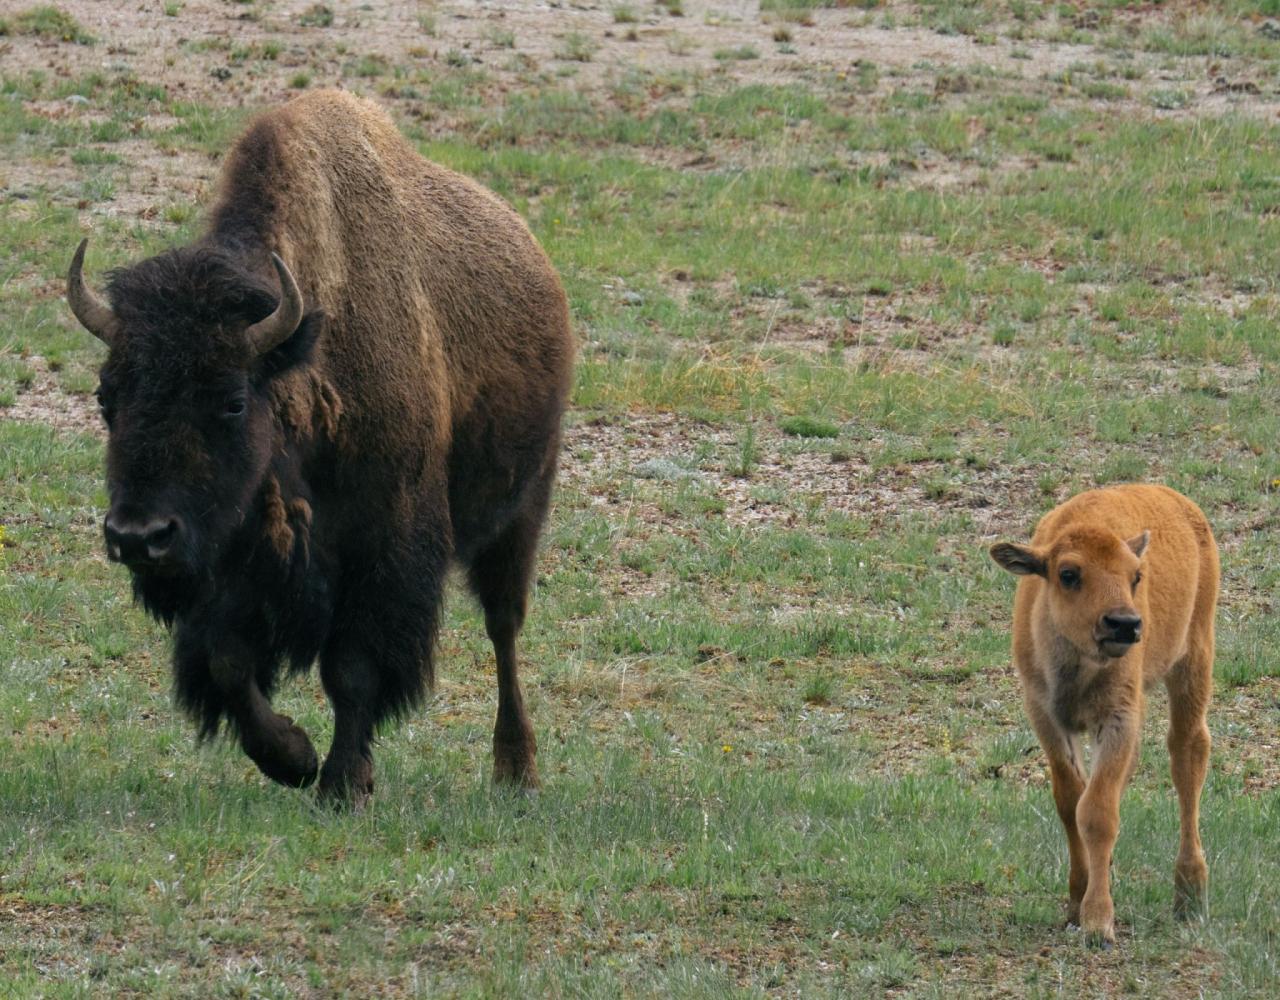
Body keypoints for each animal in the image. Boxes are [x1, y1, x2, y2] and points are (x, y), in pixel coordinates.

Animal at [63, 89, 576, 809]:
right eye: (107, 397)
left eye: (231, 400)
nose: (138, 537)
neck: (302, 364)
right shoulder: (231, 564)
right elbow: (228, 662)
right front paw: (293, 757)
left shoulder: (382, 549)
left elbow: (352, 671)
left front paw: (340, 784)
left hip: (522, 508)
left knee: (504, 628)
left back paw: (516, 770)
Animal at [988, 483, 1218, 942]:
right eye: (1068, 574)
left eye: (1136, 576)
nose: (1125, 624)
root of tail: (1178, 500)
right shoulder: (1045, 715)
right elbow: (1071, 801)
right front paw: (1077, 902)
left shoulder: (1117, 718)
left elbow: (1097, 811)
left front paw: (1098, 922)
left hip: (1194, 657)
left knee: (1188, 756)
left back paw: (1189, 895)